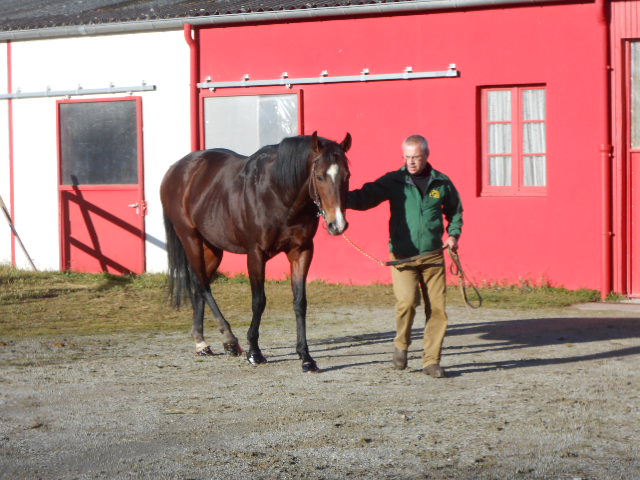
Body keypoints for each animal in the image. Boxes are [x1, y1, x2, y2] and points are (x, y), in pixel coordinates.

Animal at [159, 131, 350, 372]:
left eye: (347, 176)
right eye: (319, 176)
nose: (338, 225)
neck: (277, 194)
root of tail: (177, 169)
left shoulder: (302, 251)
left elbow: (300, 302)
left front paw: (306, 357)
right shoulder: (256, 254)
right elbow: (259, 301)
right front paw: (255, 353)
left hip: (212, 247)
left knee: (197, 284)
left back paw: (202, 342)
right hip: (190, 238)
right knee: (202, 285)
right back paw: (229, 340)